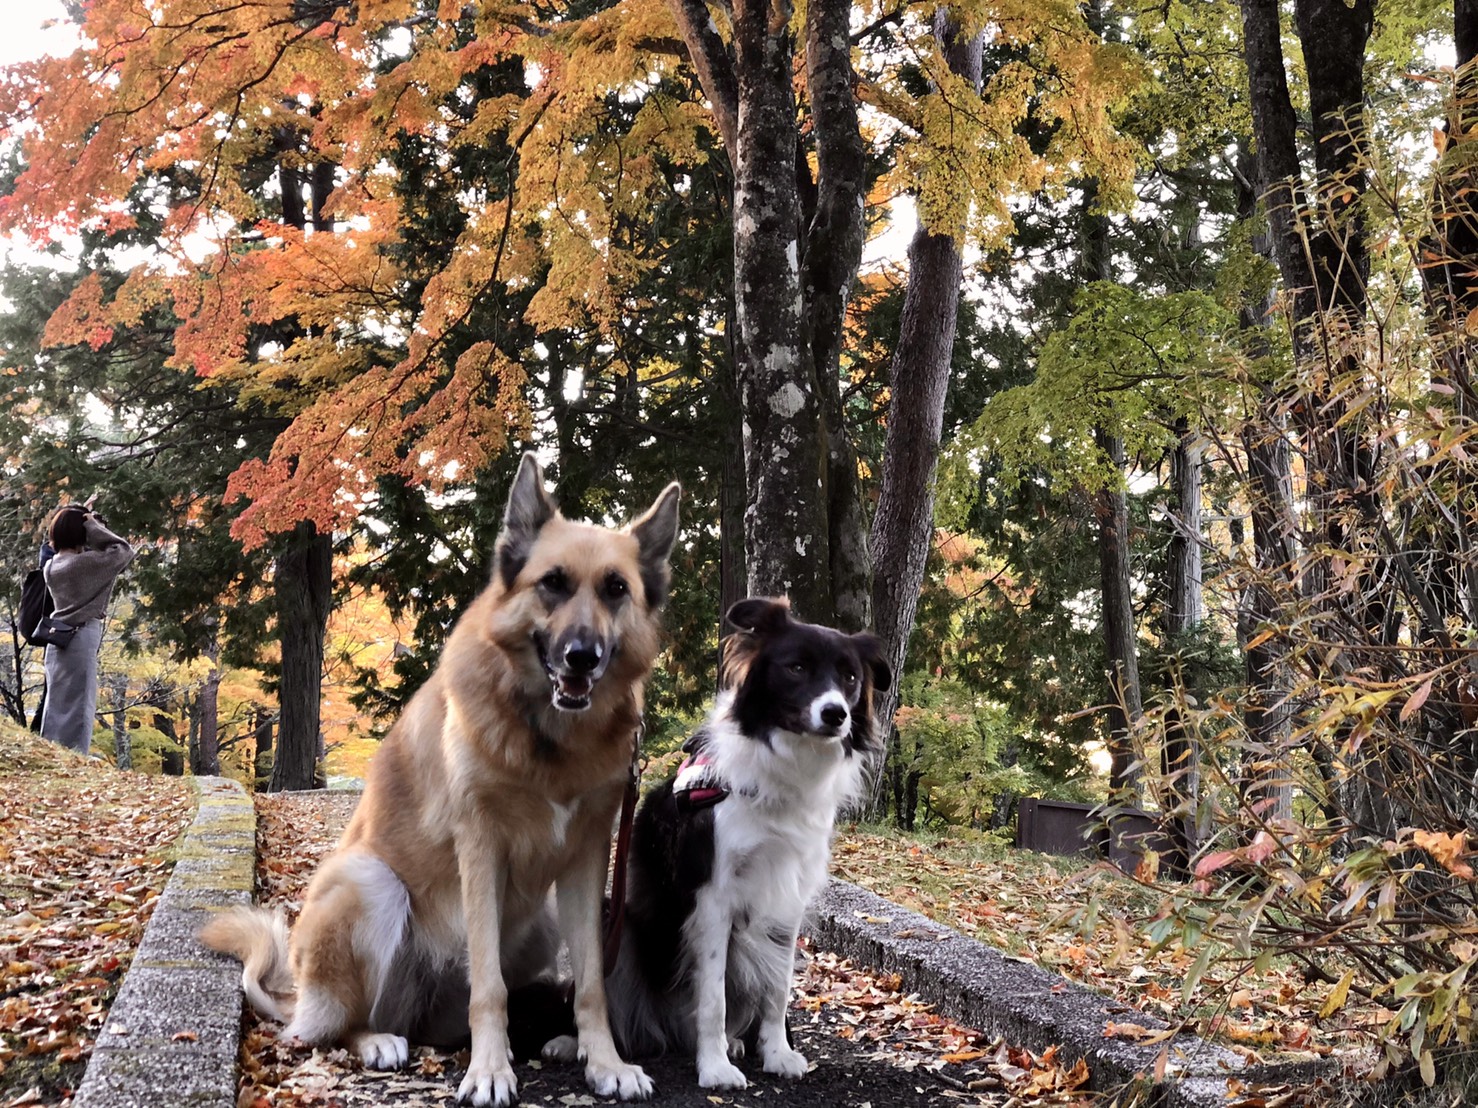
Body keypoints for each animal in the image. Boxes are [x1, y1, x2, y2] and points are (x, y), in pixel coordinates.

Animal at [201, 455, 676, 1105]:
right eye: (552, 583)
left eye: (616, 589)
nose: (582, 656)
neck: (544, 735)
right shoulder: (480, 851)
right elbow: (490, 988)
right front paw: (491, 1071)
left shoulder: (585, 861)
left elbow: (591, 984)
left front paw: (604, 1062)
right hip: (371, 885)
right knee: (337, 1027)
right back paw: (377, 1039)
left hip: (543, 921)